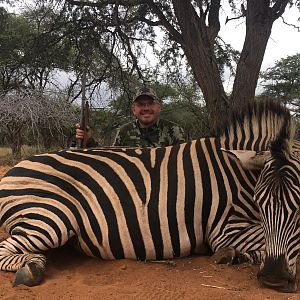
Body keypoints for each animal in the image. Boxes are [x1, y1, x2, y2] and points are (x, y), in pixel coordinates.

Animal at [0, 99, 298, 292]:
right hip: (50, 218)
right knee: (7, 249)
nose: (274, 278)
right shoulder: (224, 229)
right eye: (260, 203)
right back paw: (32, 267)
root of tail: (12, 169)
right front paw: (232, 255)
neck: (238, 173)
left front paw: (234, 256)